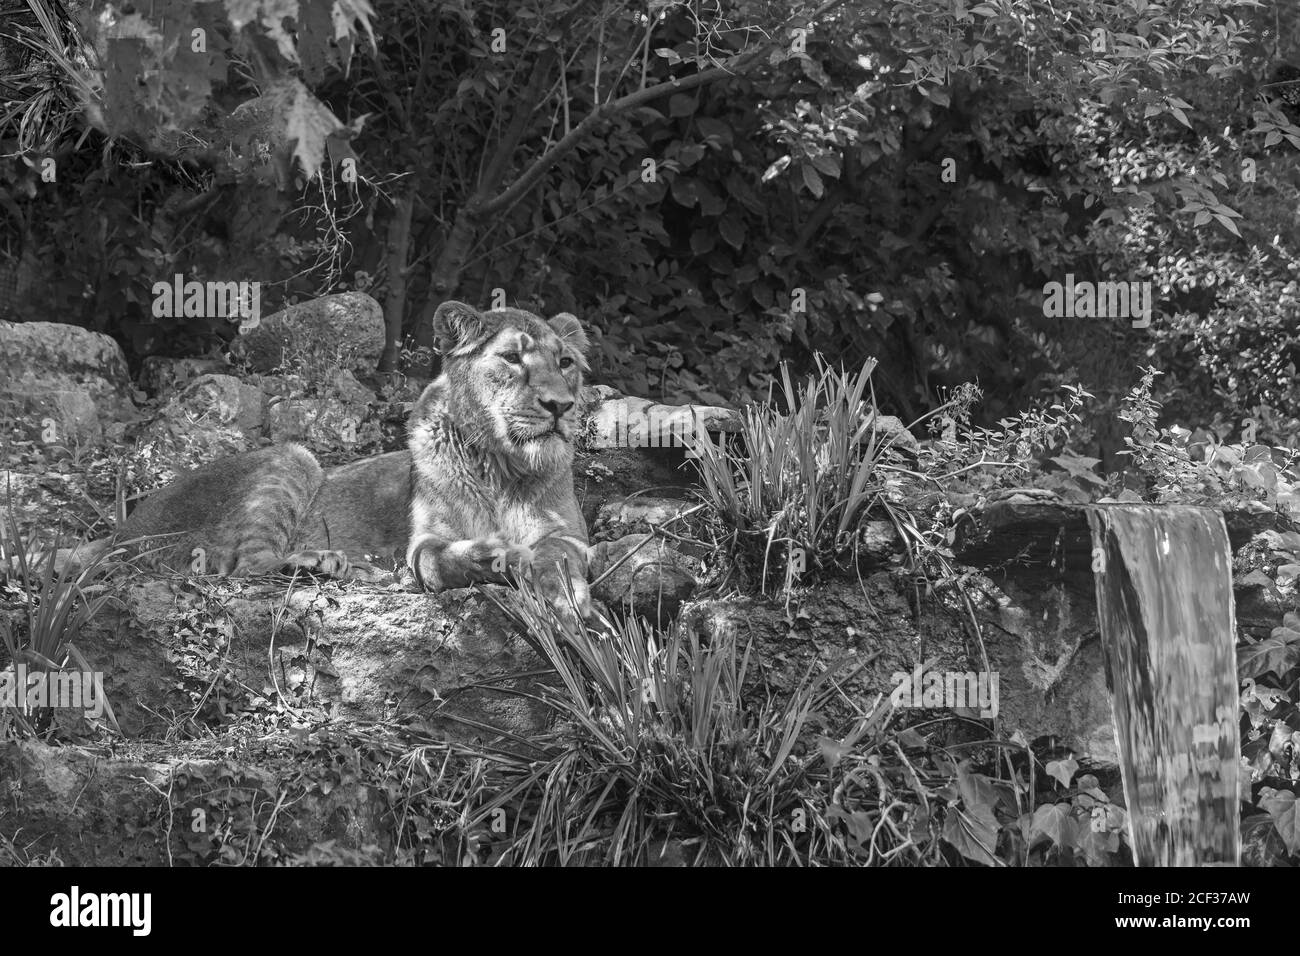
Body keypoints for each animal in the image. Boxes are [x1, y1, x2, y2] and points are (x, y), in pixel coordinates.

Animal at [85, 301, 591, 608]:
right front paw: (498, 554)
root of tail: (122, 529)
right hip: (294, 457)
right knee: (245, 568)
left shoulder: (568, 533)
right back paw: (323, 563)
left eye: (565, 363)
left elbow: (556, 556)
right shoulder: (425, 541)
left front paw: (564, 597)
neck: (499, 465)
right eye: (511, 358)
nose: (560, 405)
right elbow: (444, 557)